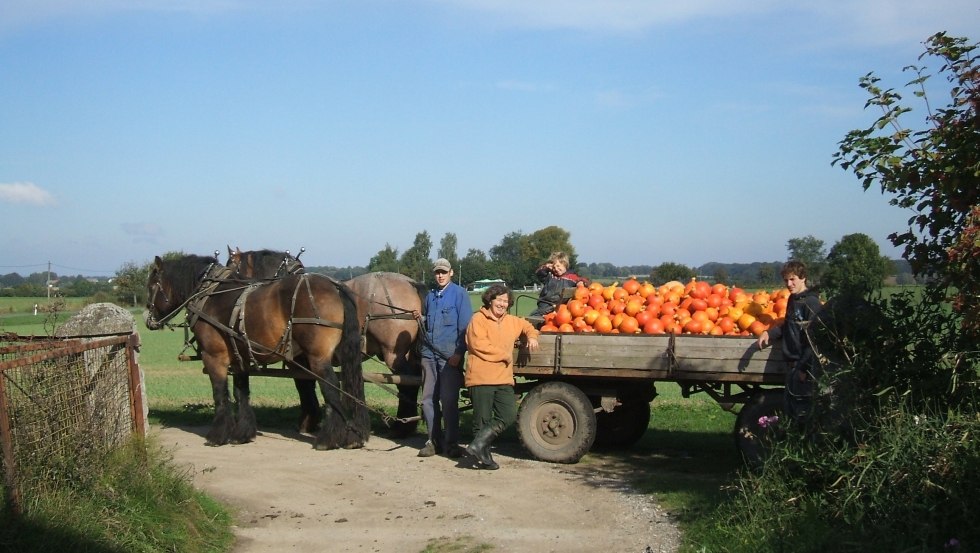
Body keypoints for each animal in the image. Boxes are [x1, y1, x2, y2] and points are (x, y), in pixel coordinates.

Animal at [145, 253, 372, 448]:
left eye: (152, 285)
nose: (148, 320)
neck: (210, 294)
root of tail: (336, 287)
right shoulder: (239, 357)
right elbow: (241, 393)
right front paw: (242, 433)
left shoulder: (214, 357)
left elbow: (220, 394)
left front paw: (217, 435)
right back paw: (353, 436)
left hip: (318, 357)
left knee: (332, 388)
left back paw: (328, 439)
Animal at [230, 248, 428, 438]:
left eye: (231, 267)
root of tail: (412, 283)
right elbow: (307, 383)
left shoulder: (299, 358)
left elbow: (303, 385)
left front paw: (307, 421)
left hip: (393, 353)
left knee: (407, 382)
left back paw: (401, 428)